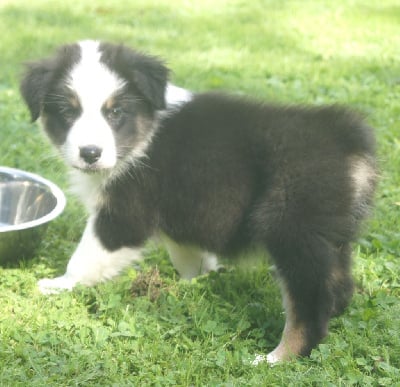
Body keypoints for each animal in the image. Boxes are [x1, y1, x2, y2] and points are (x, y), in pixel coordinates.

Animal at [19, 41, 376, 366]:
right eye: (69, 112)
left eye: (115, 112)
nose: (90, 153)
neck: (142, 138)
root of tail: (348, 140)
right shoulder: (185, 215)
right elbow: (189, 257)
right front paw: (197, 283)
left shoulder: (125, 211)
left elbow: (85, 257)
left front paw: (57, 285)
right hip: (331, 232)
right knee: (337, 280)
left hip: (291, 228)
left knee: (308, 300)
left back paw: (278, 357)